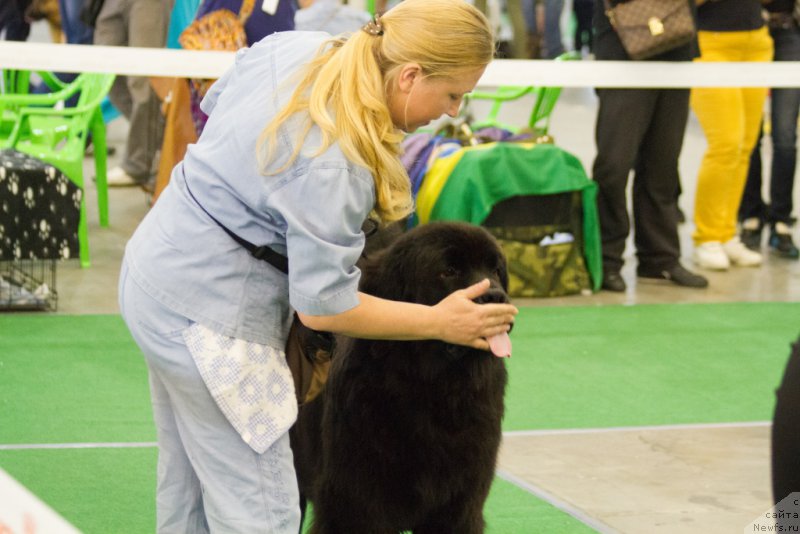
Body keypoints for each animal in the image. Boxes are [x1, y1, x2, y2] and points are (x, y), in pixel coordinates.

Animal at [290, 222, 510, 534]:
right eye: (449, 271)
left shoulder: (458, 506)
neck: (431, 388)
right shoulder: (354, 505)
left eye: (496, 270)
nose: (495, 297)